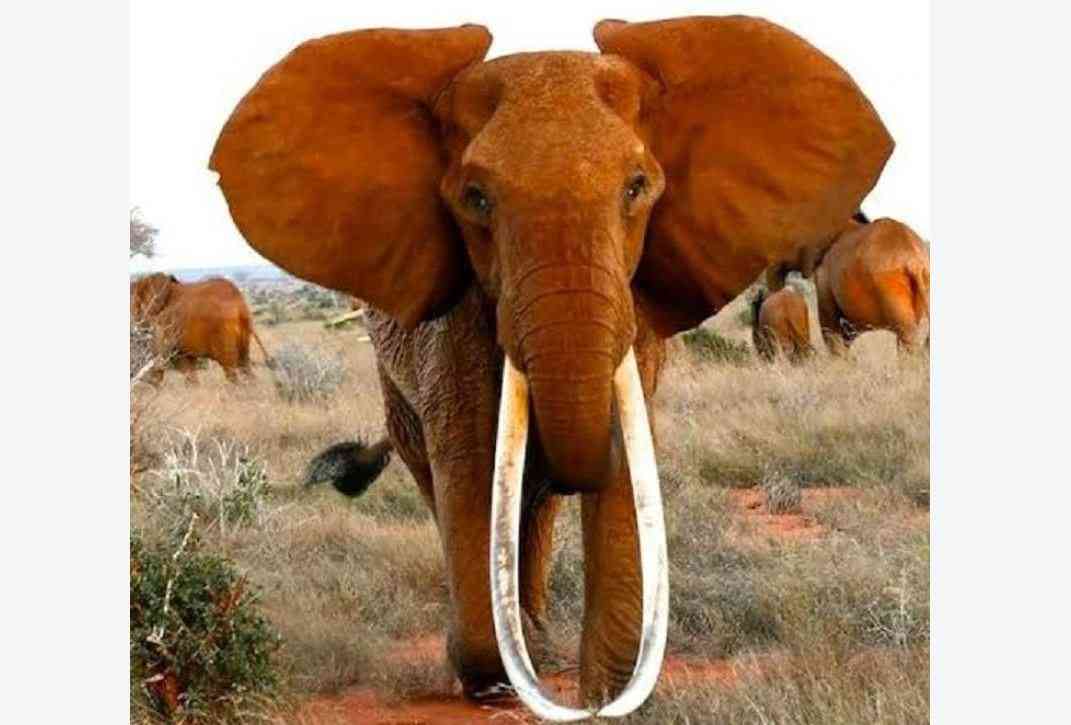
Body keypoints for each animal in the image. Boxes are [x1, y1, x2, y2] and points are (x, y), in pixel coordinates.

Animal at [130, 273, 272, 383]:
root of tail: (239, 303)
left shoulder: (164, 326)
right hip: (244, 331)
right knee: (245, 365)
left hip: (222, 331)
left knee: (230, 369)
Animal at [210, 16, 892, 717]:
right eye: (476, 199)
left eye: (637, 187)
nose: (588, 704)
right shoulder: (451, 322)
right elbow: (471, 460)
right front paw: (491, 678)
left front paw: (598, 688)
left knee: (534, 506)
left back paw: (536, 638)